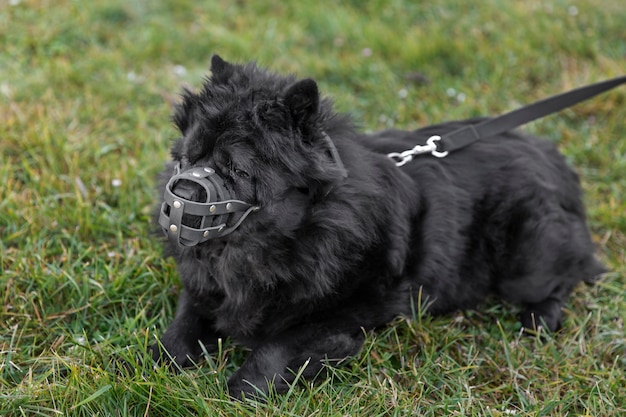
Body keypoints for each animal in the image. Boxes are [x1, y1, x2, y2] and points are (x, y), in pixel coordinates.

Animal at [150, 55, 600, 396]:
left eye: (237, 170)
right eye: (187, 157)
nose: (184, 190)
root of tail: (555, 160)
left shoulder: (349, 311)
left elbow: (277, 345)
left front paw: (242, 388)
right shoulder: (204, 288)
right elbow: (182, 325)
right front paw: (160, 363)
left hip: (526, 264)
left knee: (572, 271)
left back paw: (538, 320)